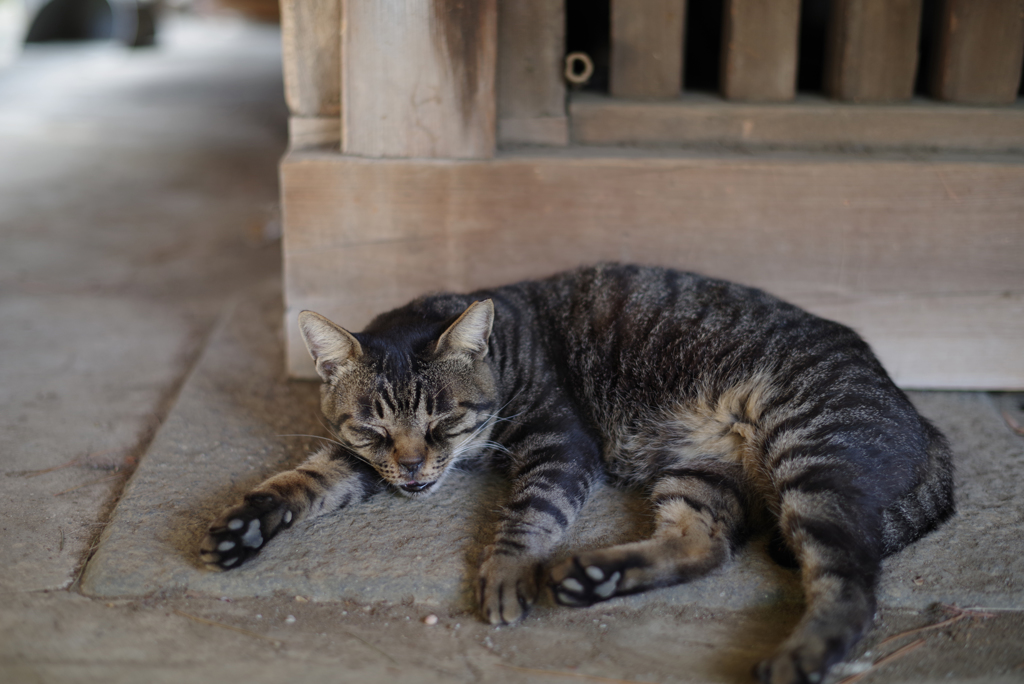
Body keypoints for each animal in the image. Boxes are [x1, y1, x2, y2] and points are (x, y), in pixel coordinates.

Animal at [203, 264, 954, 684]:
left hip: (812, 461)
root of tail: (926, 426)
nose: (415, 468)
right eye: (374, 429)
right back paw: (594, 576)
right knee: (702, 544)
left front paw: (506, 572)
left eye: (444, 422)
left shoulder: (558, 443)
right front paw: (243, 525)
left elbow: (530, 513)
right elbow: (301, 479)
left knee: (850, 588)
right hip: (699, 475)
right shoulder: (365, 462)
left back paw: (799, 656)